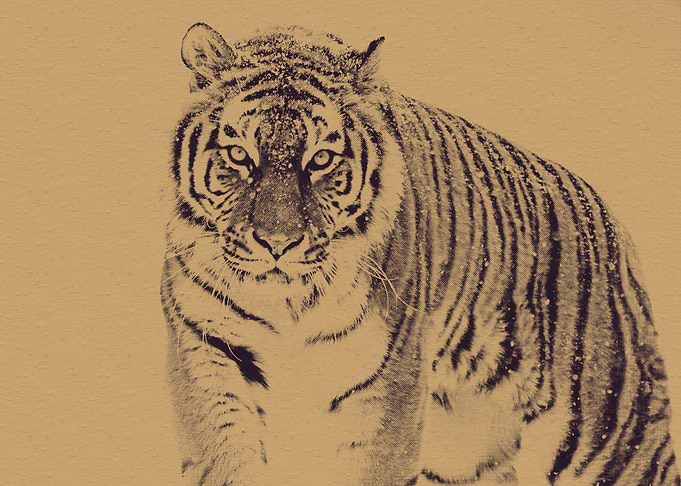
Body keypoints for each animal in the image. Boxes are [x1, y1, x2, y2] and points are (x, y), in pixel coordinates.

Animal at [160, 22, 680, 485]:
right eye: (240, 155)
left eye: (321, 159)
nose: (277, 243)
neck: (288, 304)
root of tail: (607, 216)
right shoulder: (207, 352)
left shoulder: (387, 385)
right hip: (464, 449)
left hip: (611, 431)